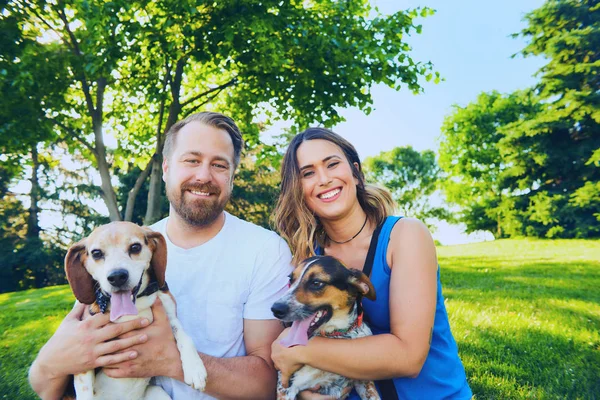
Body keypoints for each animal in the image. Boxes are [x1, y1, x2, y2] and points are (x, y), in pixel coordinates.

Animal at [63, 222, 206, 400]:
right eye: (96, 253)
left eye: (135, 247)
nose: (117, 276)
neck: (136, 305)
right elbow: (85, 390)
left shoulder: (170, 314)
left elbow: (184, 335)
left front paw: (195, 368)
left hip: (157, 393)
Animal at [270, 256, 380, 400]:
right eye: (291, 279)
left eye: (316, 283)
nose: (276, 309)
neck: (335, 335)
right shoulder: (286, 385)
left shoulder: (364, 381)